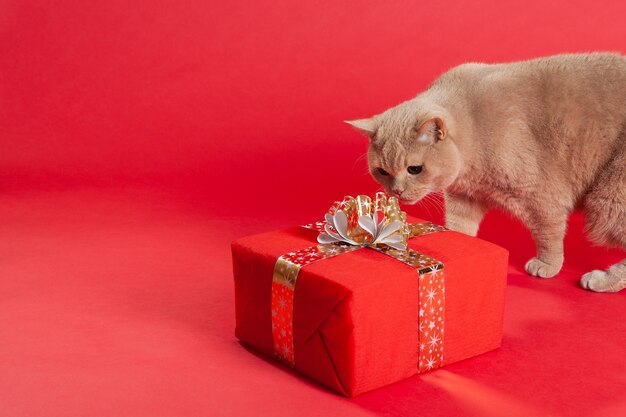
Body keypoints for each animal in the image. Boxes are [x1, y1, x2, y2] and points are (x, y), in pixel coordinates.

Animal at [346, 52, 624, 292]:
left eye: (414, 169)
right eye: (382, 171)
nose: (397, 191)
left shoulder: (543, 198)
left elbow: (549, 236)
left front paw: (547, 265)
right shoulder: (463, 199)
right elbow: (459, 229)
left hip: (607, 201)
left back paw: (601, 280)